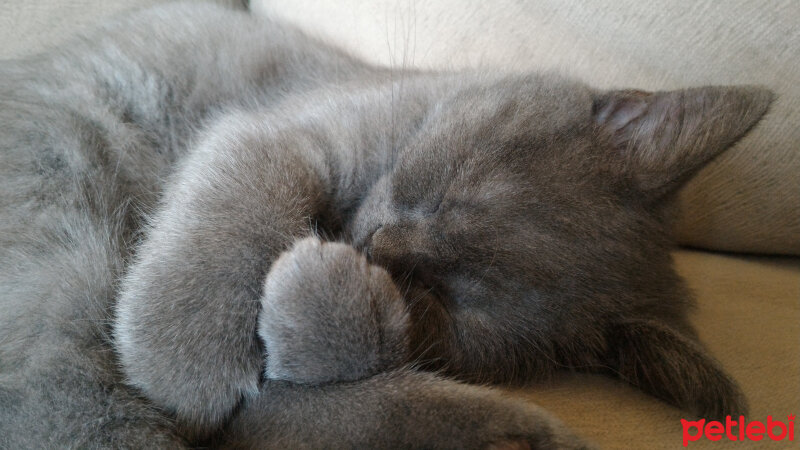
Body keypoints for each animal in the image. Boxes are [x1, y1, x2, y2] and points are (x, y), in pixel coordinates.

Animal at [0, 1, 772, 448]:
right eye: (443, 189)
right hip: (65, 197)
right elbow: (242, 190)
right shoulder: (282, 128)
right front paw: (183, 353)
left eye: (442, 299)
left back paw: (514, 431)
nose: (377, 245)